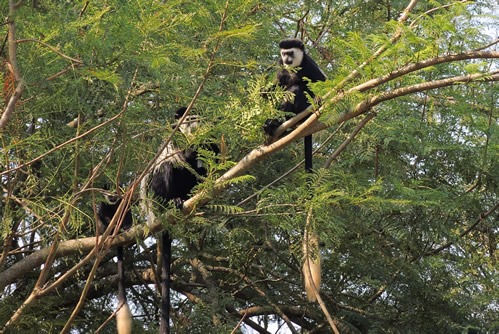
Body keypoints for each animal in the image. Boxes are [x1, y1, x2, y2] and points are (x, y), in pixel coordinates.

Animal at [96, 193, 133, 334]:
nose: (112, 196)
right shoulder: (102, 204)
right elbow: (101, 215)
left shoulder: (123, 202)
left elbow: (127, 213)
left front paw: (125, 226)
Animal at [140, 107, 220, 334]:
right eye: (189, 119)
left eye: (196, 119)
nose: (194, 124)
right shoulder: (175, 138)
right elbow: (180, 158)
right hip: (156, 196)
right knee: (168, 167)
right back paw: (174, 202)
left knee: (197, 172)